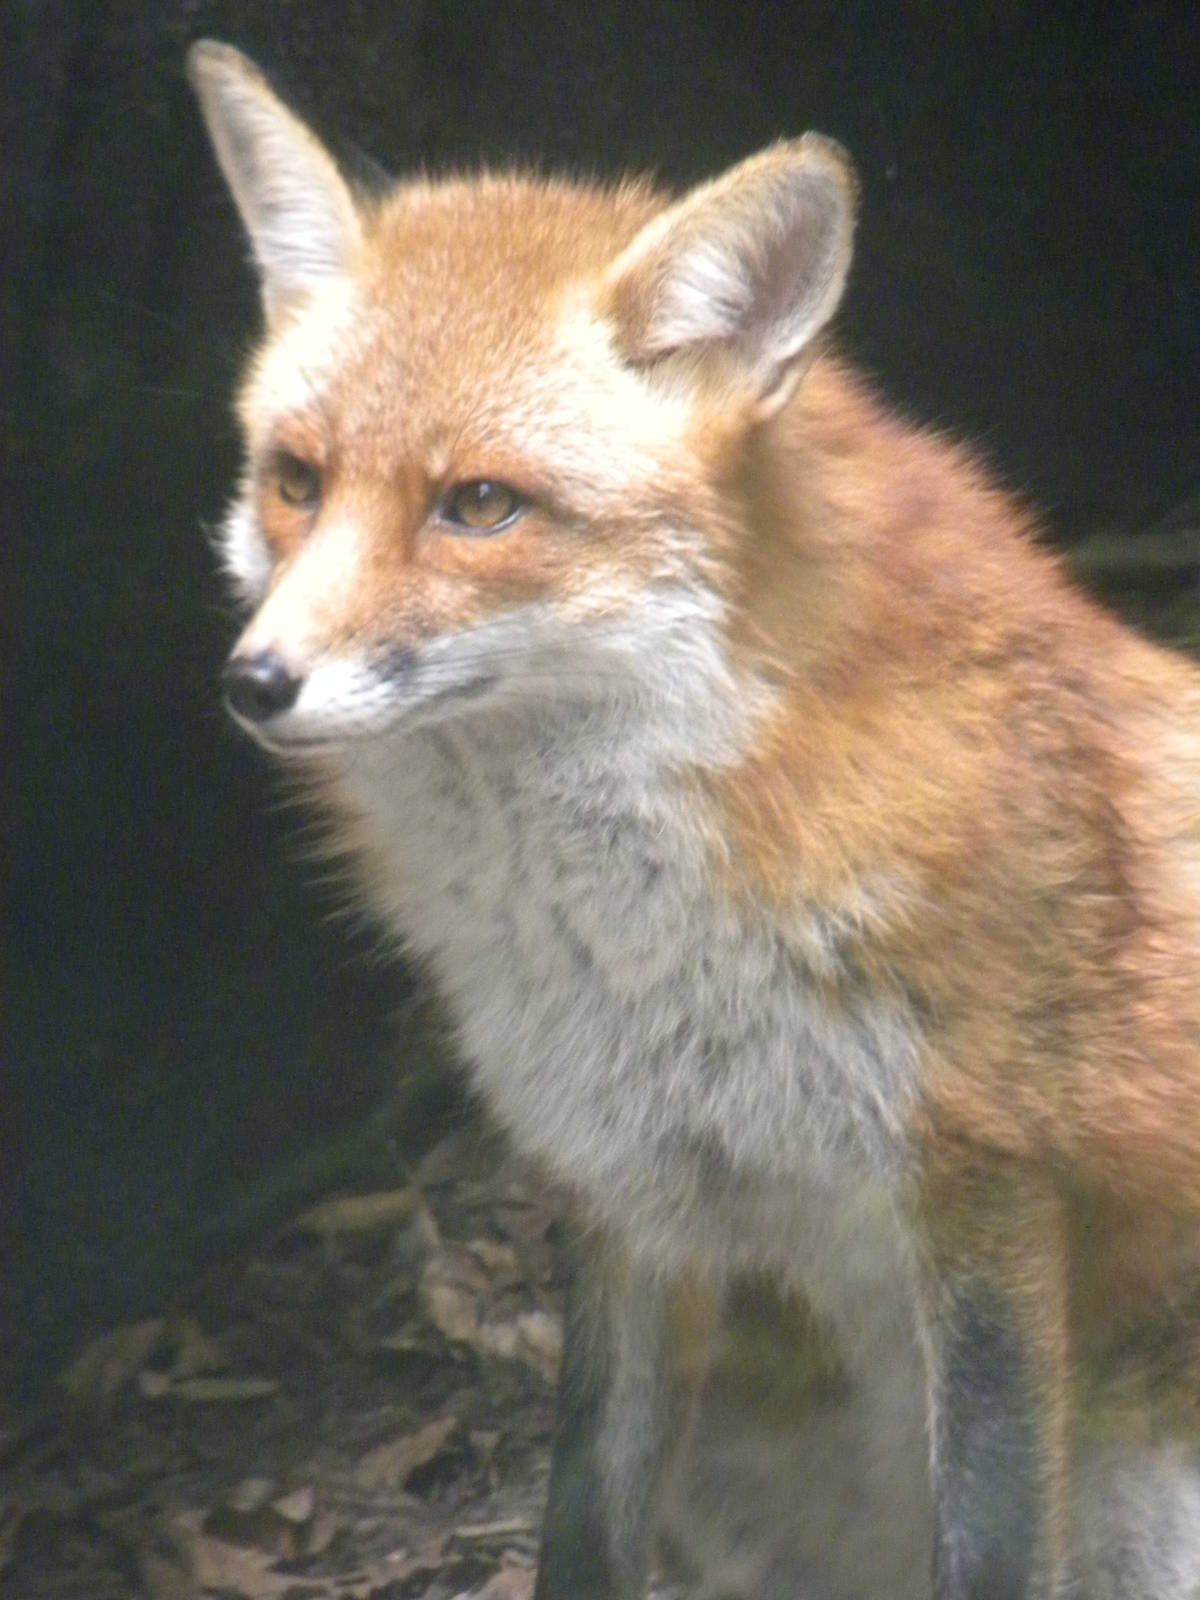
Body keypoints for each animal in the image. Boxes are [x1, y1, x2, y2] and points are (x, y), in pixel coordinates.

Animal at [187, 39, 1200, 1600]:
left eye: (479, 505)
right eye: (294, 479)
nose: (257, 682)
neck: (651, 948)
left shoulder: (986, 1184)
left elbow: (990, 1537)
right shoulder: (625, 1189)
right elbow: (581, 1515)